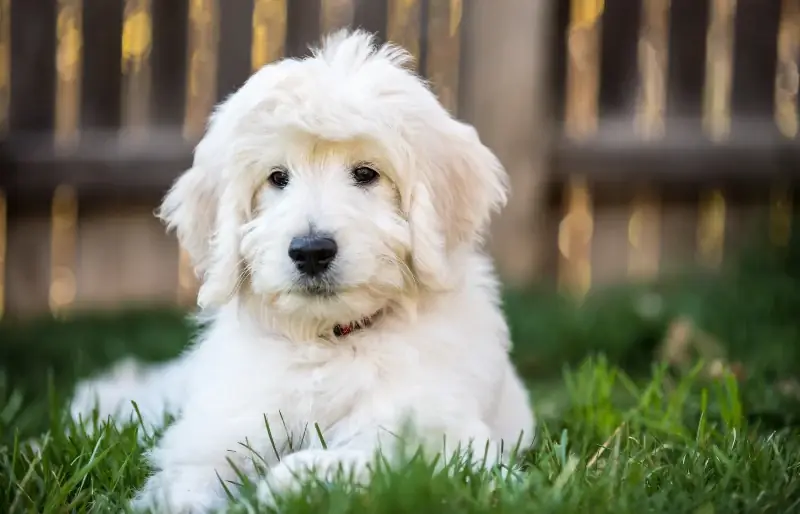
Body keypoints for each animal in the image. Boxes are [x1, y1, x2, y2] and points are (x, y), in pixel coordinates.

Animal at [69, 30, 536, 510]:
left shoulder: (440, 437)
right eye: (278, 177)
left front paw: (282, 486)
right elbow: (191, 478)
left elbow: (361, 459)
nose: (311, 251)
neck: (328, 340)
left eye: (366, 173)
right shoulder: (223, 426)